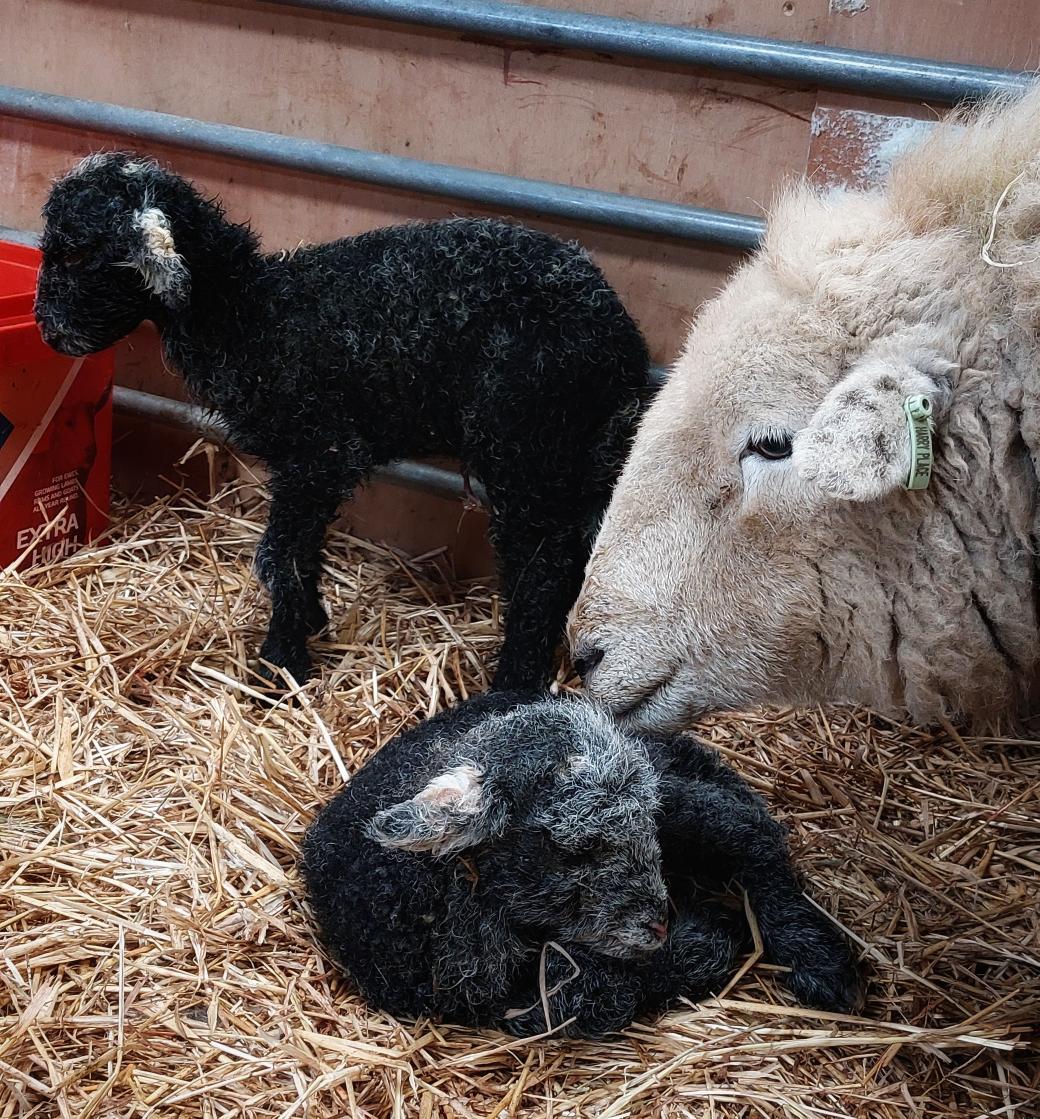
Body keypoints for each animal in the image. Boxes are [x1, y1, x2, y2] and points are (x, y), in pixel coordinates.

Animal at [38, 148, 649, 689]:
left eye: (76, 254)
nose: (48, 330)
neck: (252, 316)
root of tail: (622, 342)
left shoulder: (321, 449)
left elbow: (278, 556)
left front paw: (281, 666)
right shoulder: (304, 464)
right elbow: (299, 550)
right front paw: (309, 622)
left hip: (527, 438)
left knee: (544, 567)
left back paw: (512, 683)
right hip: (571, 451)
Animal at [300, 689, 859, 1038]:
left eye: (646, 826)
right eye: (576, 849)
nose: (659, 923)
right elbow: (600, 992)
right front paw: (708, 936)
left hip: (686, 799)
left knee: (754, 839)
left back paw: (822, 963)